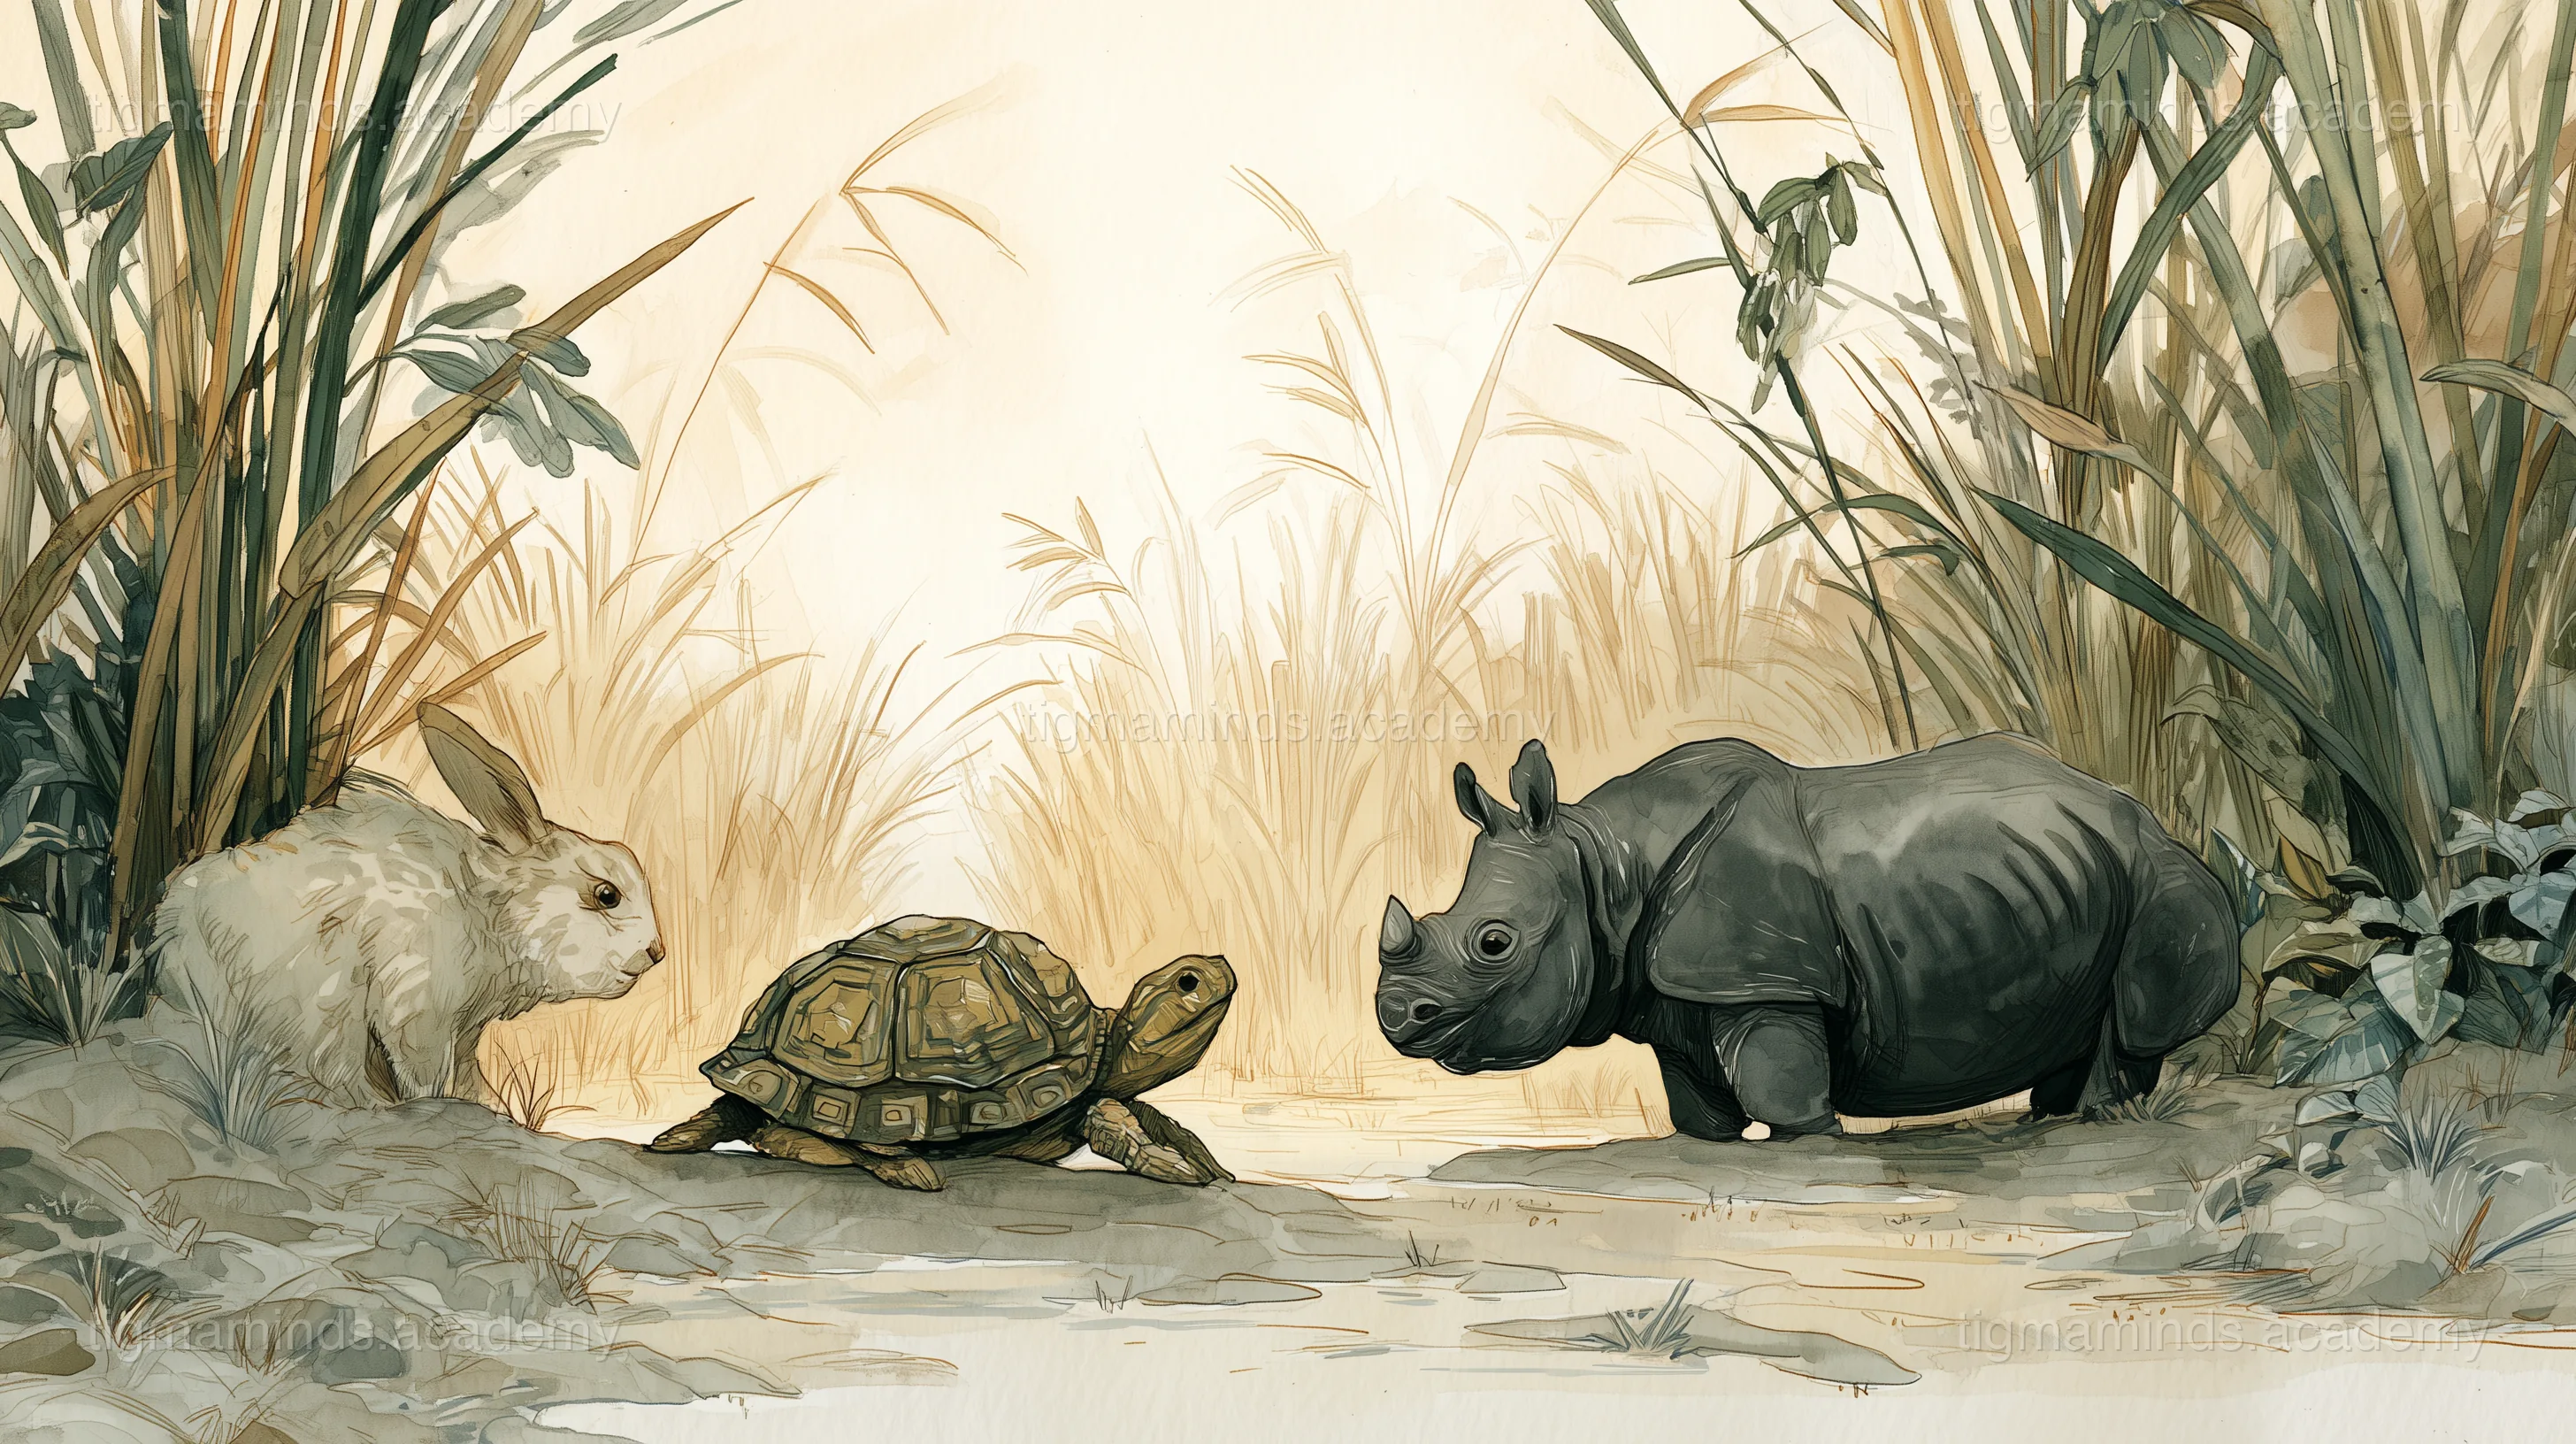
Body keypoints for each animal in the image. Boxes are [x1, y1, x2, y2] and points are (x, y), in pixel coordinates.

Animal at [148, 703, 665, 1109]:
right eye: (606, 895)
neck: (487, 909)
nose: (657, 952)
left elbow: (468, 1076)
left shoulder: (464, 1031)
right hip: (319, 1014)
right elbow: (424, 1076)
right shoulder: (418, 1008)